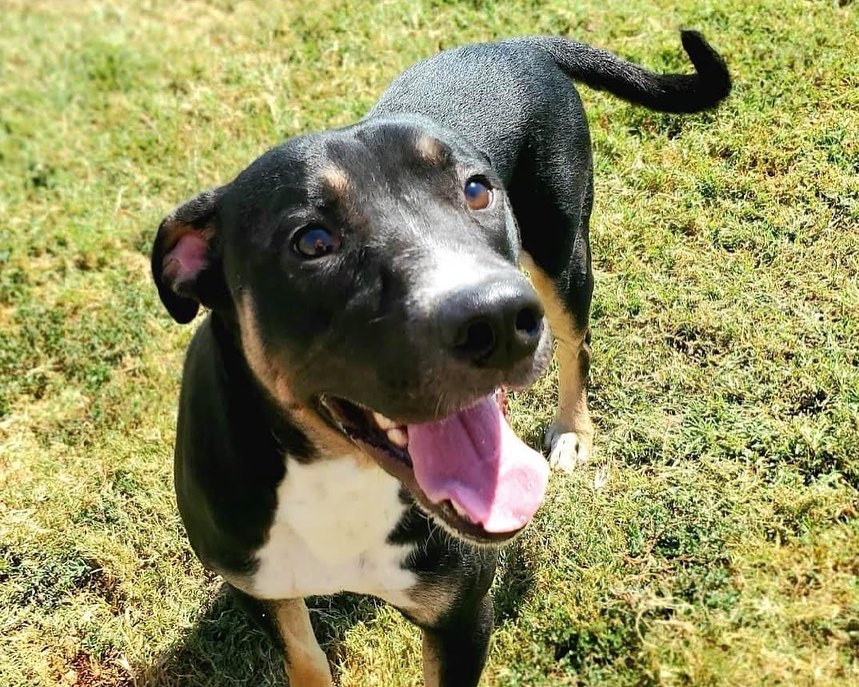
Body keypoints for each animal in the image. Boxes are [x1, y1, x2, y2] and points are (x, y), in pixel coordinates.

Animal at [151, 30, 728, 687]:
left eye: (477, 189)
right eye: (312, 241)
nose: (498, 320)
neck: (339, 473)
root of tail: (520, 42)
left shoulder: (461, 616)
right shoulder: (260, 587)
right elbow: (305, 655)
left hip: (562, 253)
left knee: (576, 344)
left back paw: (572, 430)